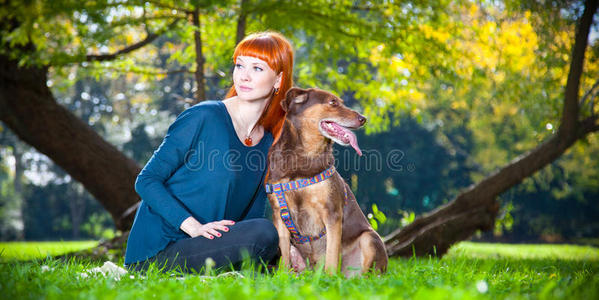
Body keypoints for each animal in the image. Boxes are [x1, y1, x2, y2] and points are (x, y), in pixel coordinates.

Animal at [264, 87, 386, 276]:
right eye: (333, 102)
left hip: (369, 238)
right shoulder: (279, 214)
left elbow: (332, 254)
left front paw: (330, 278)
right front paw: (283, 277)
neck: (304, 156)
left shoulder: (332, 213)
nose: (363, 119)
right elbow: (284, 254)